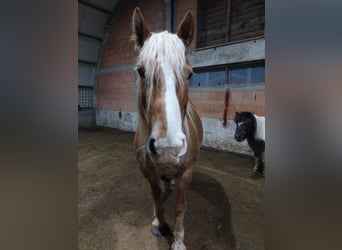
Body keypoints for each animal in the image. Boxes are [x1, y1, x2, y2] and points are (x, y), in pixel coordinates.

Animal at [132, 7, 203, 250]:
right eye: (141, 71)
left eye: (190, 73)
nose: (168, 149)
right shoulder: (147, 172)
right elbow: (155, 197)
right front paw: (159, 222)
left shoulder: (186, 173)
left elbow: (180, 207)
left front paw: (178, 241)